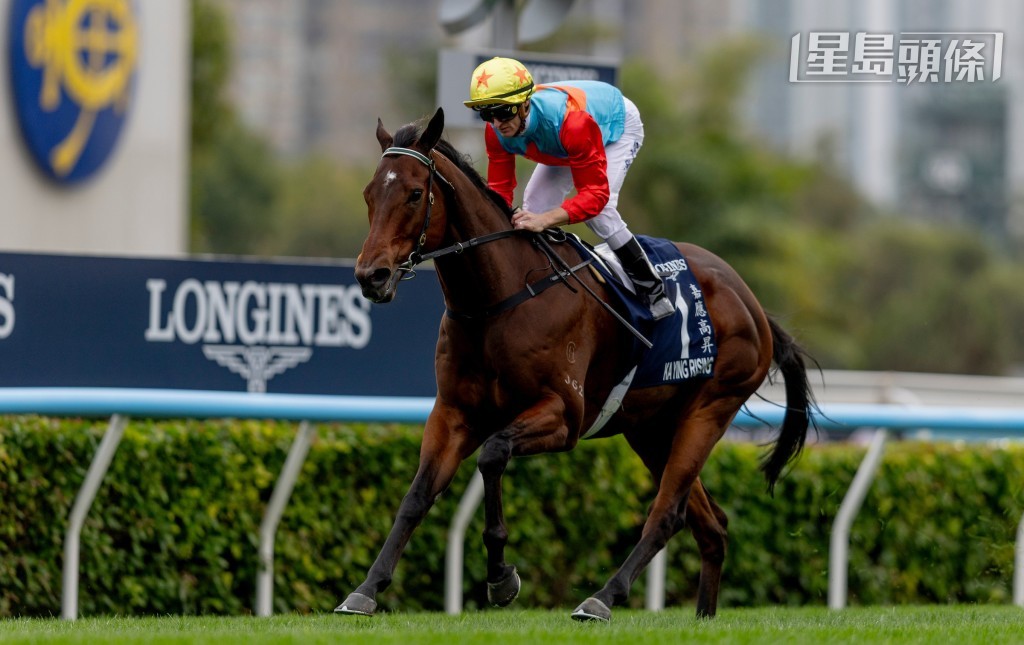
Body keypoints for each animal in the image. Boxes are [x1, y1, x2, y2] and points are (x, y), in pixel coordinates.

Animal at [337, 107, 815, 622]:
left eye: (413, 193)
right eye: (368, 193)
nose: (371, 276)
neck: (497, 299)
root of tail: (752, 304)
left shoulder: (563, 415)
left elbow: (493, 454)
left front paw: (501, 577)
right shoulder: (454, 413)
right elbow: (417, 495)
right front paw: (366, 589)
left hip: (708, 410)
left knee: (667, 513)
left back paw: (602, 598)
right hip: (650, 428)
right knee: (710, 524)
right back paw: (703, 616)